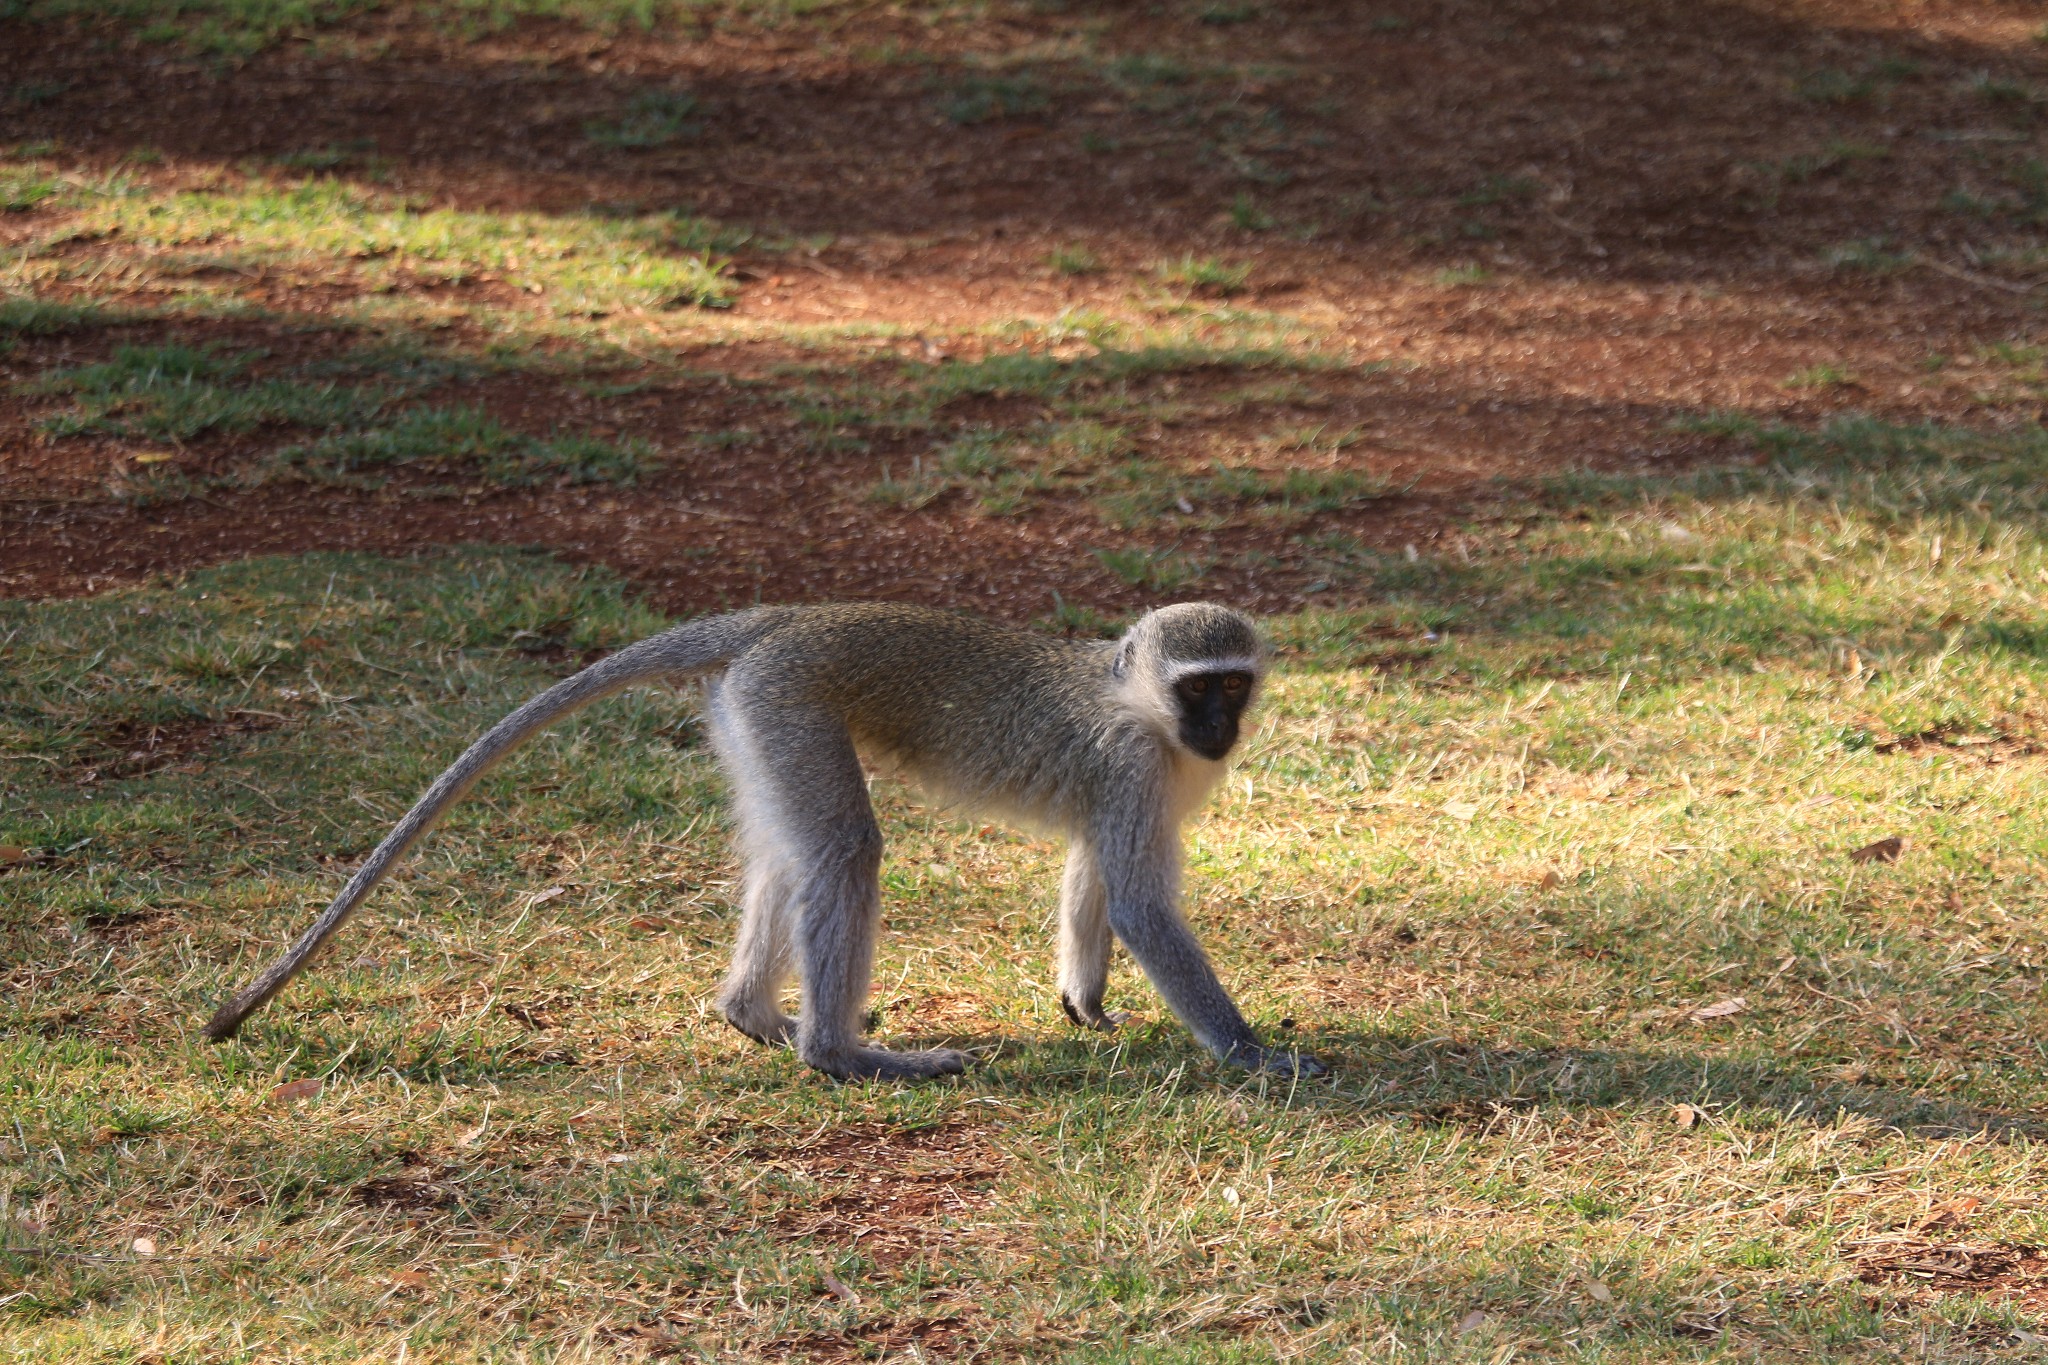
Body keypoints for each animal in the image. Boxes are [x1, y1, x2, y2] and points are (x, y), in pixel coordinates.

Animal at [203, 601, 1327, 1080]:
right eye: (1198, 687)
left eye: (1233, 685)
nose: (1220, 728)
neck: (1139, 708)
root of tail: (782, 620)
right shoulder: (1132, 765)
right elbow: (1136, 900)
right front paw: (1252, 1052)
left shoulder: (1144, 784)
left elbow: (1097, 879)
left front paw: (1084, 1003)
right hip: (789, 702)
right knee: (843, 853)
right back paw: (841, 1055)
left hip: (752, 714)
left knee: (794, 853)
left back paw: (750, 1015)